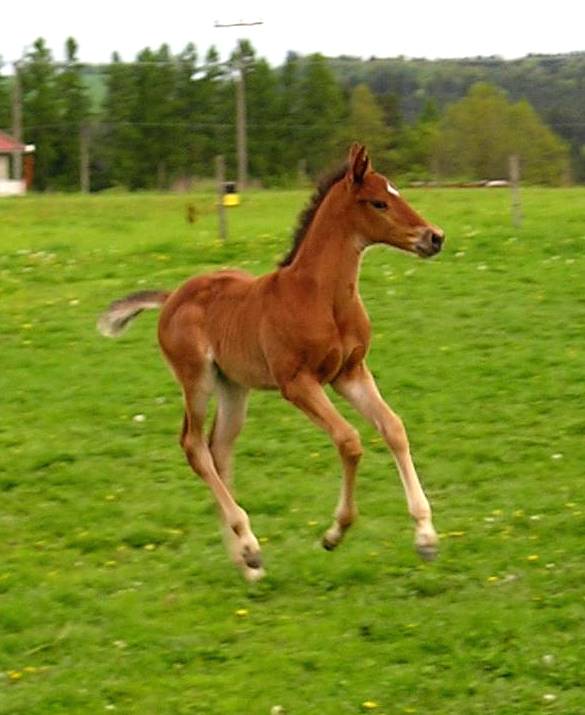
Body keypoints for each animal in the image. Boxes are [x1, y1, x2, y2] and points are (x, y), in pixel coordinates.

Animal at [98, 144, 442, 580]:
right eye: (378, 202)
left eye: (397, 192)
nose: (435, 237)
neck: (322, 297)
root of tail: (172, 296)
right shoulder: (296, 383)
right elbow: (349, 440)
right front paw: (334, 533)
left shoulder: (350, 373)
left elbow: (393, 428)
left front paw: (426, 538)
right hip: (196, 379)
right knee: (194, 445)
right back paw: (249, 545)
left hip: (233, 386)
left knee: (219, 448)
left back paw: (246, 563)